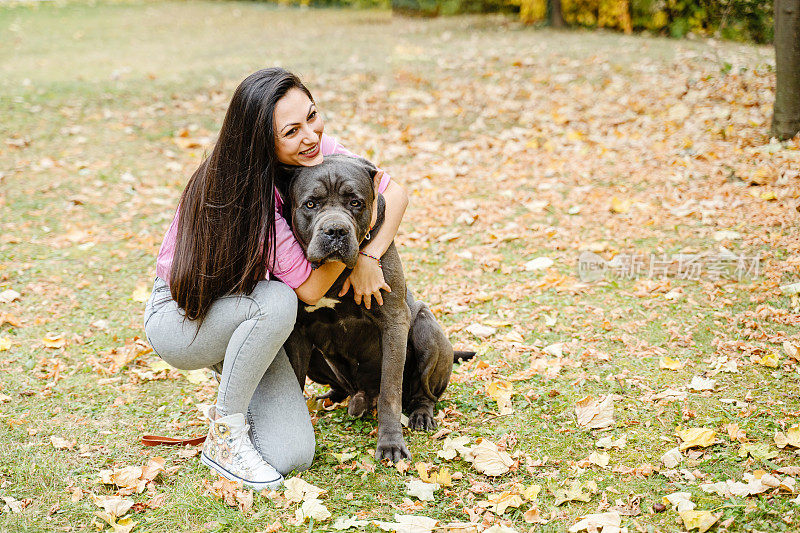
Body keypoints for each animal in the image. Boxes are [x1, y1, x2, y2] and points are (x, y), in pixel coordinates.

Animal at [278, 155, 472, 462]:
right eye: (311, 204)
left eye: (355, 202)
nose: (336, 230)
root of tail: (363, 397)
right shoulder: (297, 333)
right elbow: (295, 383)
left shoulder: (394, 322)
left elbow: (390, 392)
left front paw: (391, 443)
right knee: (340, 387)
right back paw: (332, 397)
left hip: (427, 331)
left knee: (425, 393)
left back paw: (420, 415)